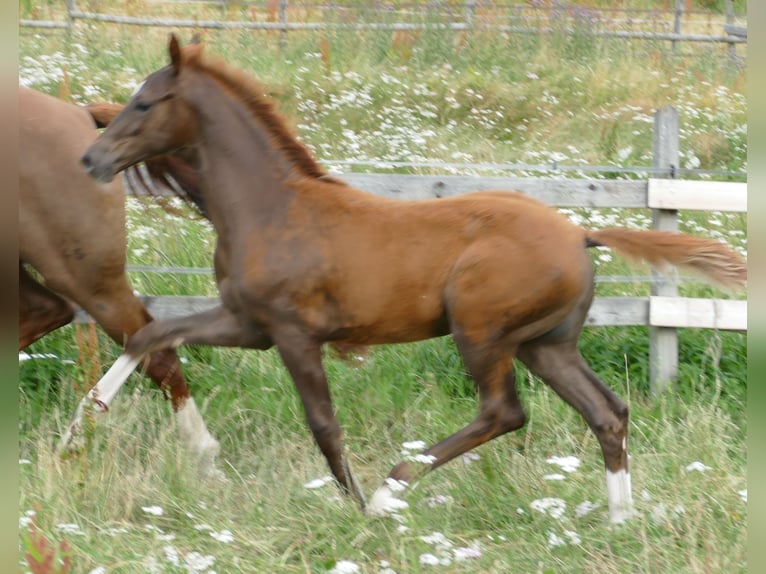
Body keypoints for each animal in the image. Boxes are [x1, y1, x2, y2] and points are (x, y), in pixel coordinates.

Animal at [77, 35, 746, 523]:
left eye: (145, 103)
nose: (91, 159)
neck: (272, 209)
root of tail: (579, 234)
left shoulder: (294, 334)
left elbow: (324, 425)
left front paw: (351, 506)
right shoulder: (248, 325)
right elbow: (152, 335)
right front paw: (86, 419)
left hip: (481, 332)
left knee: (505, 412)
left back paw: (388, 492)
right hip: (545, 344)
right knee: (606, 411)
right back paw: (619, 517)